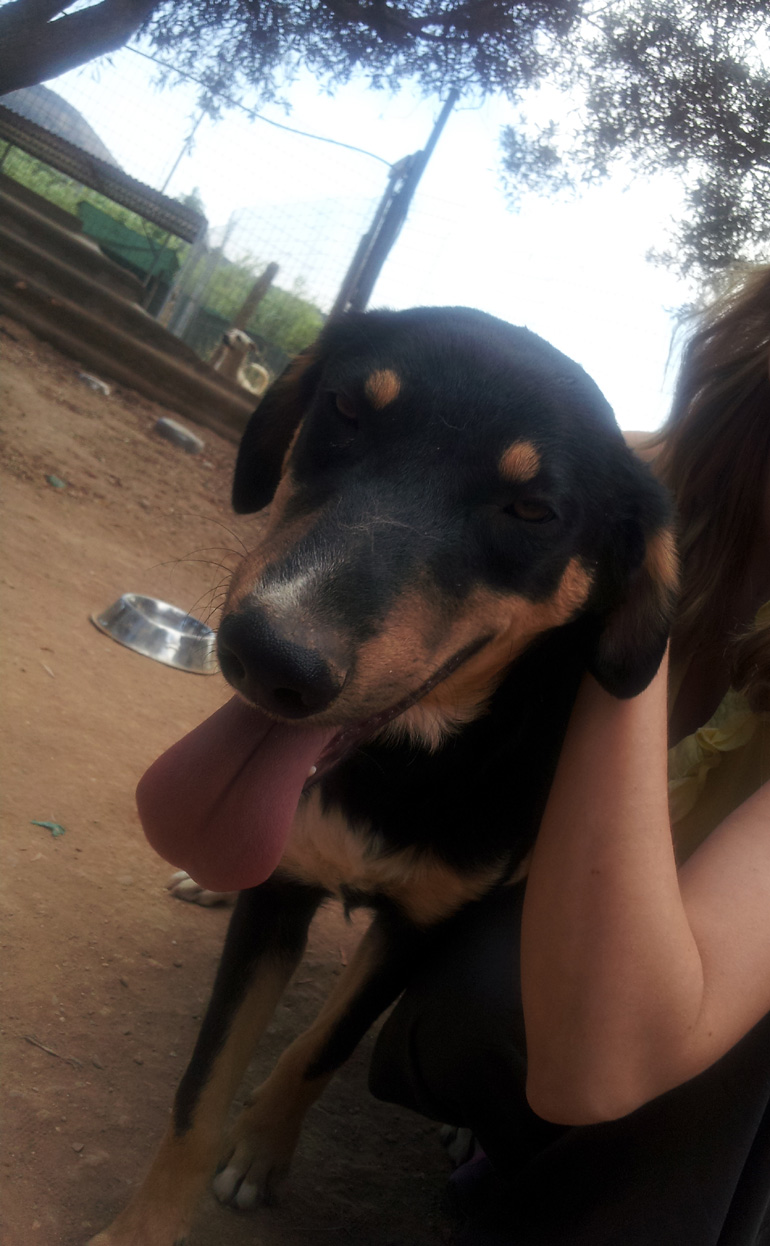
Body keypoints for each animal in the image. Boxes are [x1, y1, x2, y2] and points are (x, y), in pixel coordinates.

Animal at [91, 306, 676, 1245]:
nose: (268, 659)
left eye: (532, 508)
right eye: (347, 410)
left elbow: (320, 1048)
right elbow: (198, 1095)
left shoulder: (418, 930)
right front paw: (145, 1227)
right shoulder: (279, 892)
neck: (402, 767)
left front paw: (261, 1147)